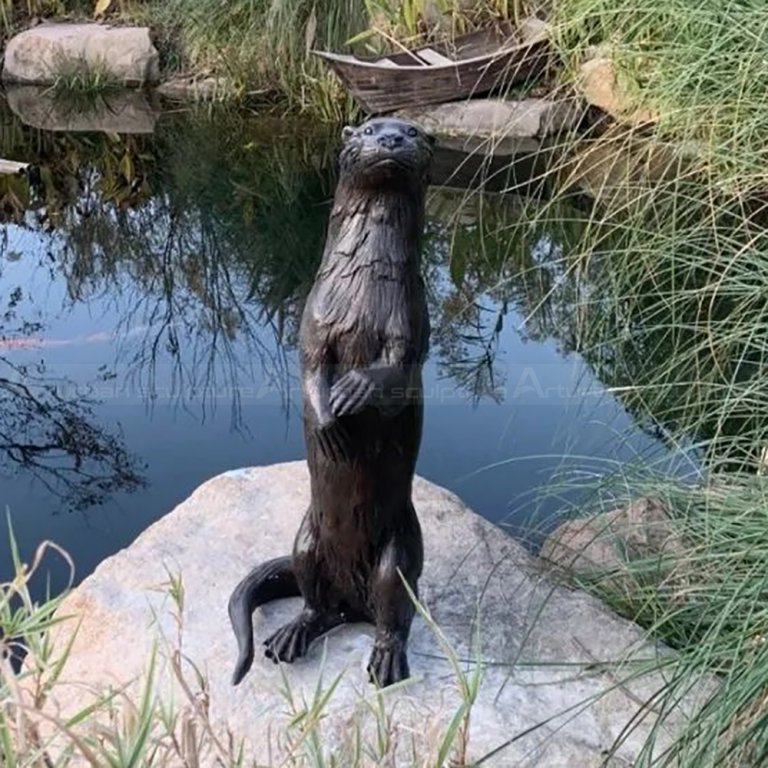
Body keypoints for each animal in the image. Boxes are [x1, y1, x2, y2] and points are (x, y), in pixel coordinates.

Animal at [228, 116, 434, 688]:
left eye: (414, 130)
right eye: (368, 127)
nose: (391, 139)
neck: (363, 292)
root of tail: (354, 601)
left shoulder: (411, 319)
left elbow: (398, 368)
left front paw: (354, 390)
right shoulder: (315, 318)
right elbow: (308, 369)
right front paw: (328, 416)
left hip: (399, 556)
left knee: (394, 612)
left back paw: (386, 658)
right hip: (306, 543)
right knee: (317, 605)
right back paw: (292, 634)